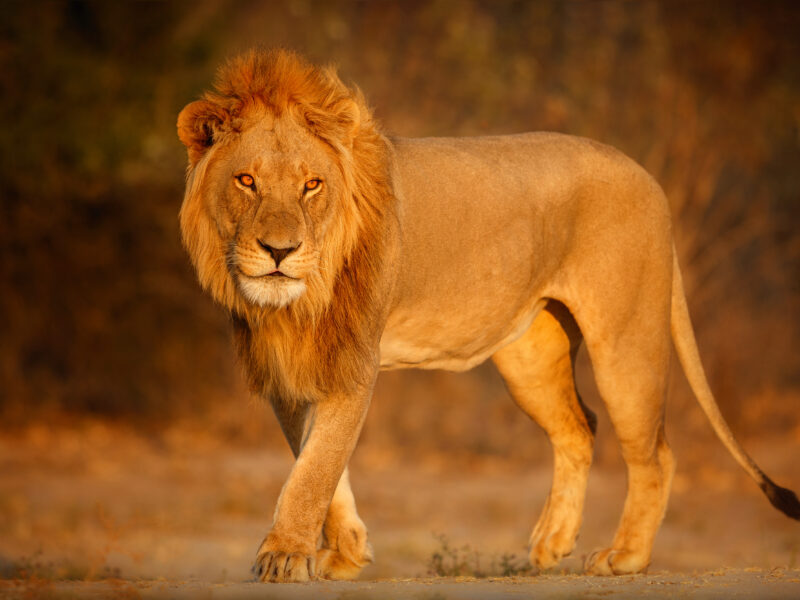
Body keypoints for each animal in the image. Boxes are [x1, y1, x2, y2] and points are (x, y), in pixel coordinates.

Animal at [177, 49, 800, 582]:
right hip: (530, 356)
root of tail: (648, 177)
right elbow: (316, 464)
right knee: (580, 427)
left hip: (626, 338)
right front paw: (346, 553)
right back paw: (551, 541)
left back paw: (624, 556)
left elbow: (315, 468)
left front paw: (285, 555)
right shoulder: (285, 368)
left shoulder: (353, 360)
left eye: (312, 185)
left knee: (655, 452)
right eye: (247, 180)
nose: (279, 252)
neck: (296, 305)